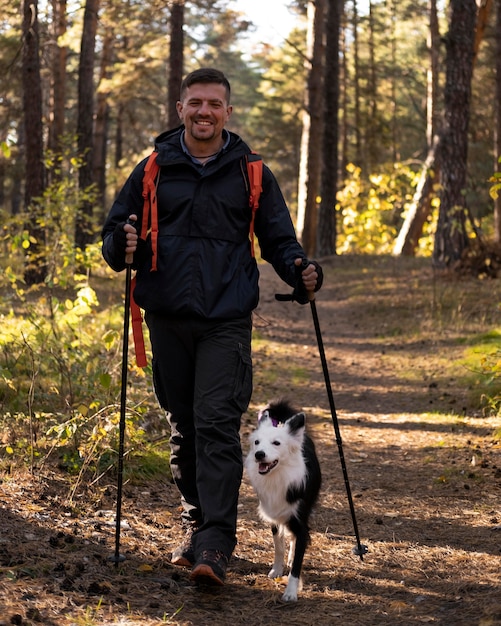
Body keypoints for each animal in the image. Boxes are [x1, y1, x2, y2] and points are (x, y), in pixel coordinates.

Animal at [245, 400, 320, 600]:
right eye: (256, 442)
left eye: (277, 443)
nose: (259, 454)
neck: (278, 476)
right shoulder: (274, 516)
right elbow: (278, 546)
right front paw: (277, 570)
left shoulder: (300, 522)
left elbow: (298, 559)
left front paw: (291, 592)